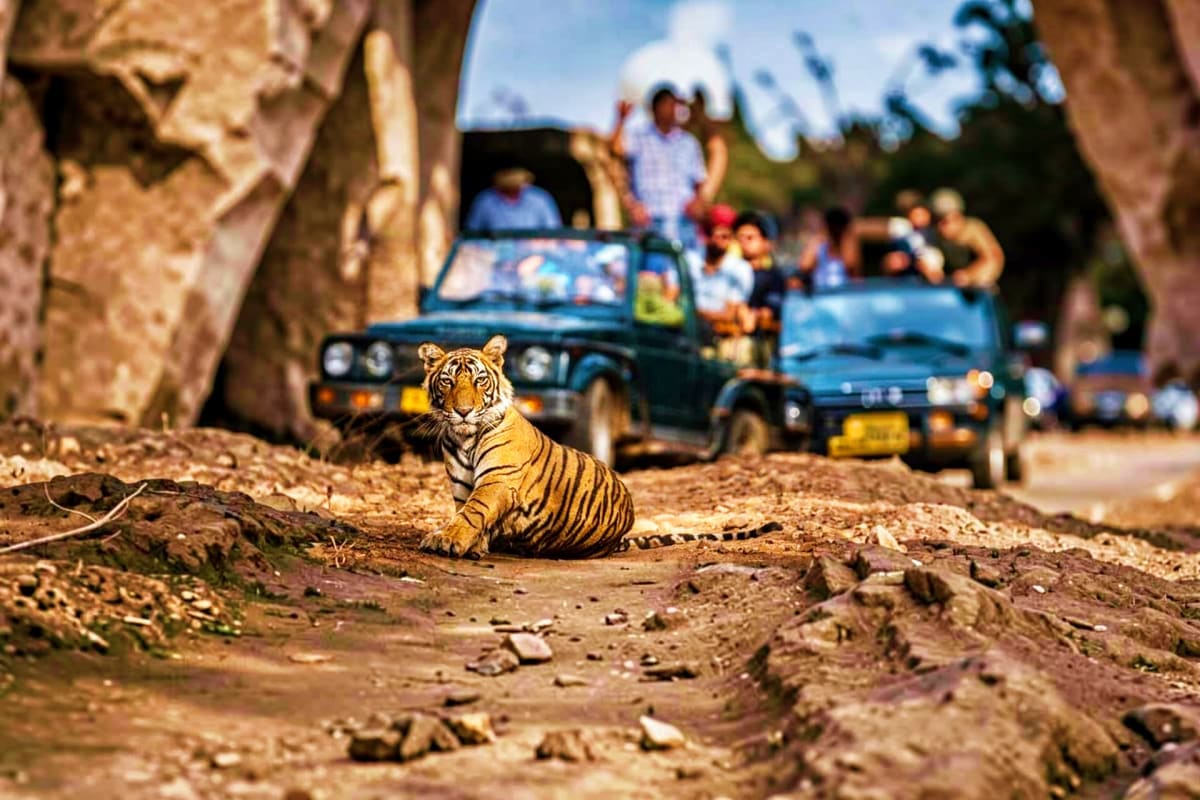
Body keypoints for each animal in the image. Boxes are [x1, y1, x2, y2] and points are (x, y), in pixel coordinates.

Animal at [416, 334, 782, 559]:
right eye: (447, 381)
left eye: (480, 380)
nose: (463, 411)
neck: (463, 437)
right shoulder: (462, 485)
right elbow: (466, 512)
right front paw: (470, 544)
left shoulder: (498, 480)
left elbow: (473, 512)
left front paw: (447, 540)